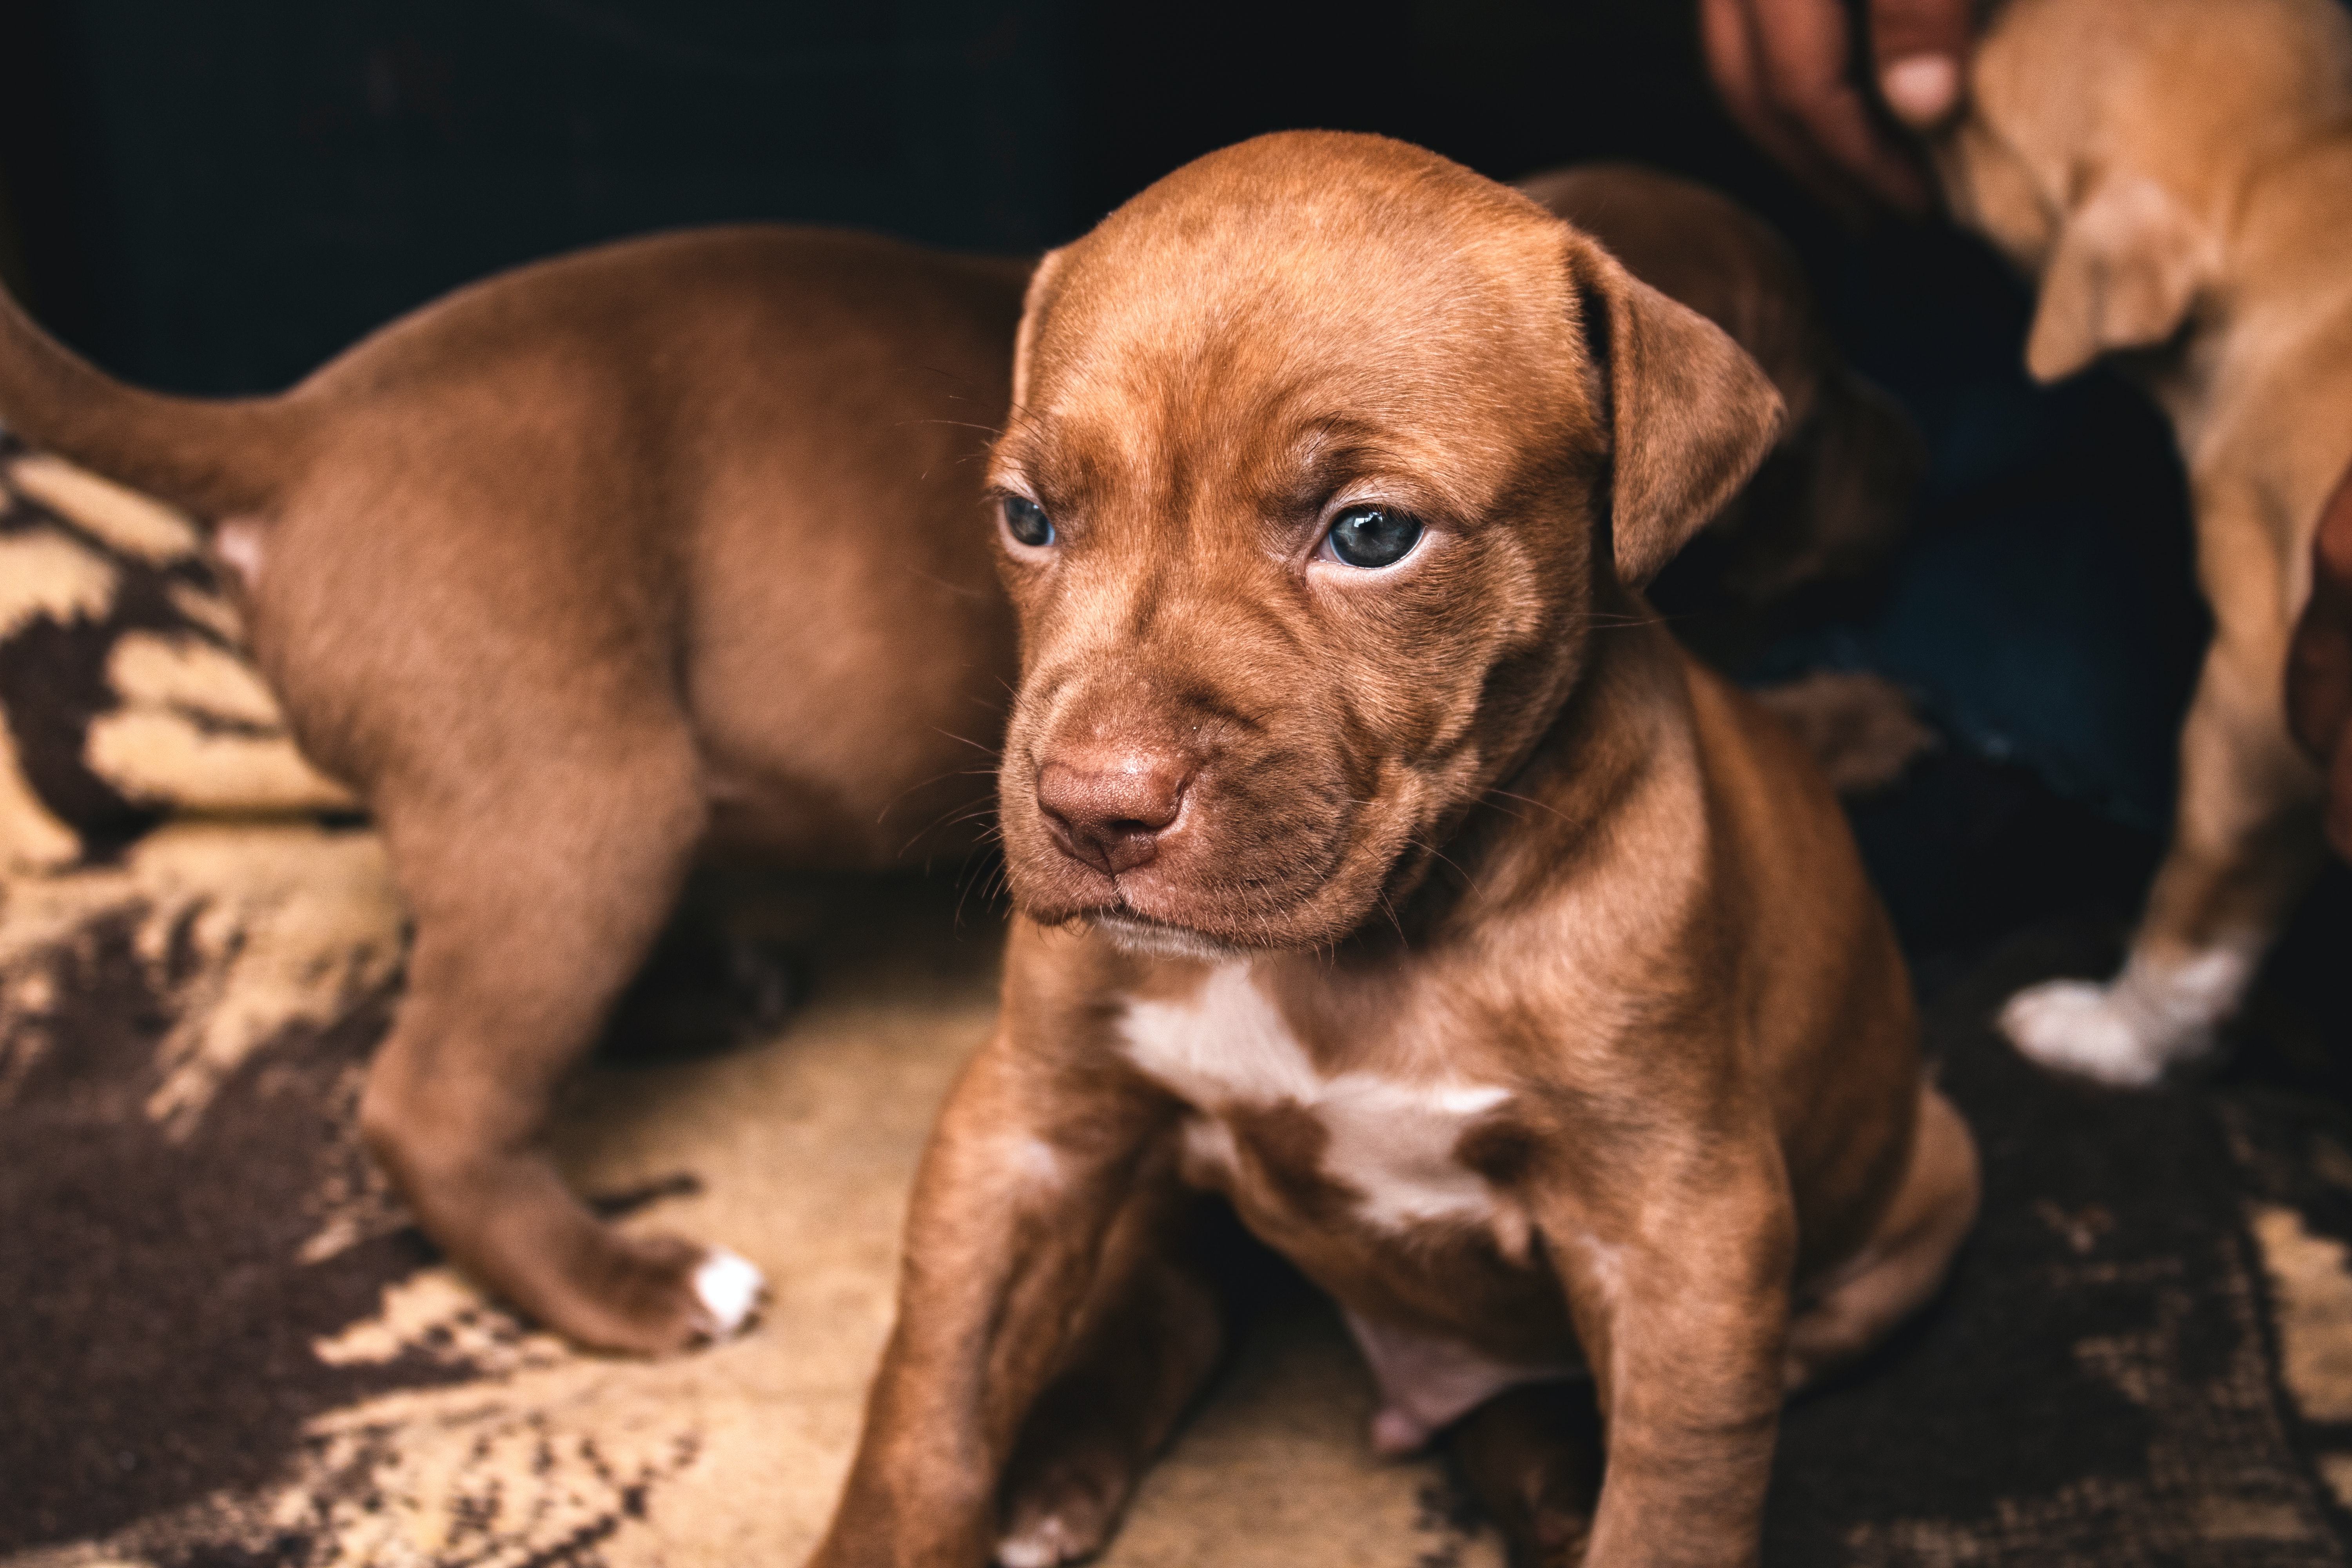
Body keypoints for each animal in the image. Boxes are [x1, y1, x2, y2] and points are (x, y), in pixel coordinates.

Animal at [818, 131, 1976, 1568]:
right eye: (1029, 520)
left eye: (1372, 535)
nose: (1093, 807)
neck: (1359, 953)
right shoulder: (1026, 1123)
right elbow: (931, 1400)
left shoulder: (1686, 1241)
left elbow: (1673, 1503)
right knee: (1178, 1284)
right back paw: (1058, 1465)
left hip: (1929, 1185)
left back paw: (1547, 1477)